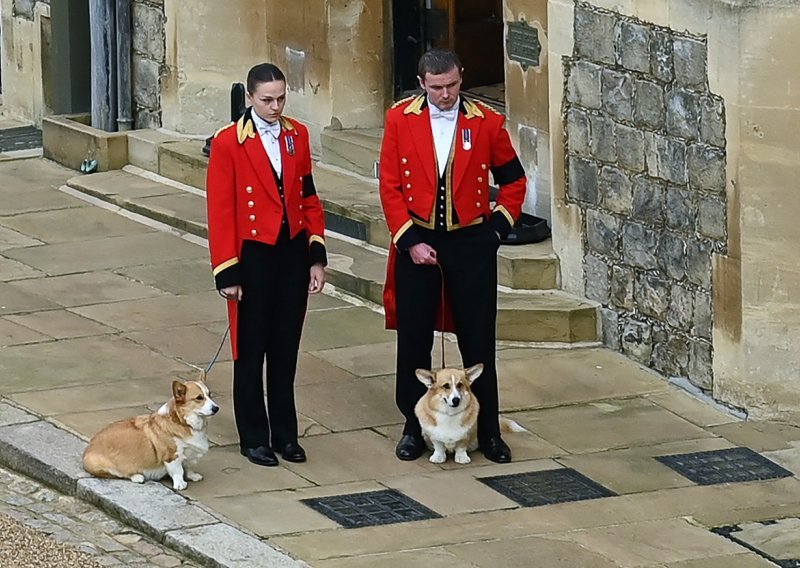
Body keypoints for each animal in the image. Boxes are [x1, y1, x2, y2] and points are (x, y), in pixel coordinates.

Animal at [82, 380, 219, 490]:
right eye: (199, 398)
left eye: (209, 395)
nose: (216, 408)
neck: (183, 422)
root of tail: (87, 449)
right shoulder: (172, 456)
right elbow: (178, 470)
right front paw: (180, 484)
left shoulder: (189, 454)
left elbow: (188, 467)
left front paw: (193, 476)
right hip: (101, 465)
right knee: (119, 474)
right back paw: (137, 476)